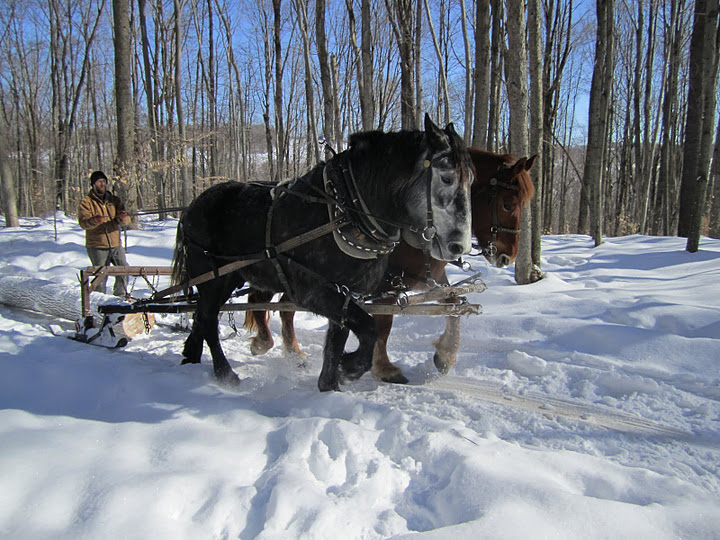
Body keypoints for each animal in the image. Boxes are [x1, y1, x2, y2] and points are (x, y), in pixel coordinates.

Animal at [172, 115, 476, 392]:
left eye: (471, 180)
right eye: (447, 178)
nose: (459, 246)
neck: (345, 211)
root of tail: (191, 208)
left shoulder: (346, 291)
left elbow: (338, 338)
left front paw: (330, 384)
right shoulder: (315, 290)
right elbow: (368, 328)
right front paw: (350, 367)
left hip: (230, 278)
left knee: (202, 316)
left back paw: (191, 356)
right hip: (213, 278)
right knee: (208, 319)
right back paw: (225, 374)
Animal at [246, 148, 536, 384]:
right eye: (508, 204)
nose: (507, 257)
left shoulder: (431, 279)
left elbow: (454, 305)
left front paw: (445, 356)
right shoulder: (384, 285)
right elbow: (384, 324)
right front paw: (384, 368)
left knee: (284, 307)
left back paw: (292, 353)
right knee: (260, 299)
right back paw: (264, 342)